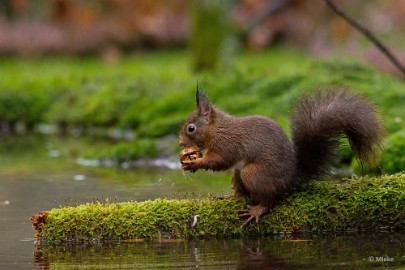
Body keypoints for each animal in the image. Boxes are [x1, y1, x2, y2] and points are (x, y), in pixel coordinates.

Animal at [178, 87, 384, 227]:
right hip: (238, 174)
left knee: (271, 199)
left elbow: (219, 160)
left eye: (191, 128)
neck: (216, 129)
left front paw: (196, 163)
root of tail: (290, 180)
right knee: (242, 193)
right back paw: (230, 197)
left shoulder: (227, 144)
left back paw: (257, 210)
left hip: (252, 174)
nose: (180, 143)